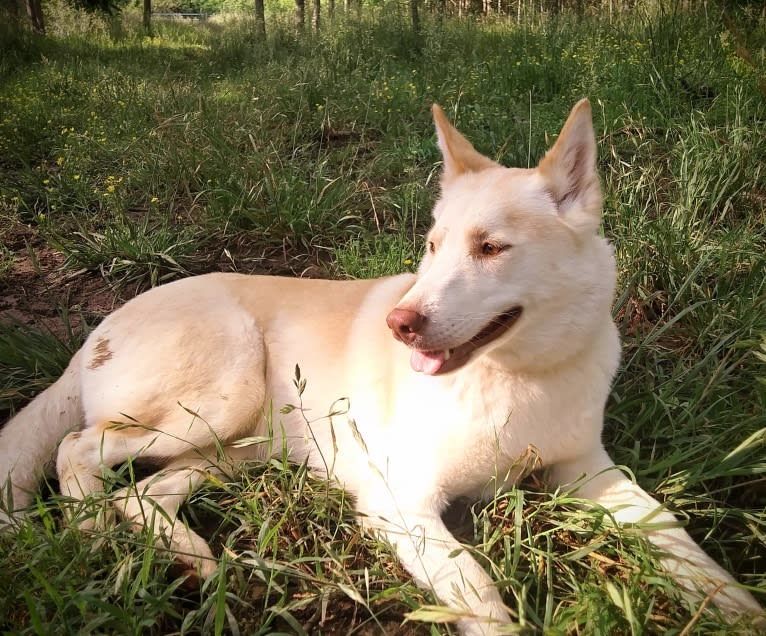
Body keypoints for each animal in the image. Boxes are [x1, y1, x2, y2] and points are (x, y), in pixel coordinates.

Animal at [0, 99, 764, 632]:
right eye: (432, 245)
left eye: (491, 248)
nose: (401, 324)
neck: (517, 378)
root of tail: (99, 325)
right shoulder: (403, 503)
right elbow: (480, 590)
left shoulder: (589, 473)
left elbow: (673, 534)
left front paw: (733, 604)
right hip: (219, 398)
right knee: (77, 449)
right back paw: (96, 533)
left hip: (245, 445)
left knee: (144, 492)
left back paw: (196, 557)